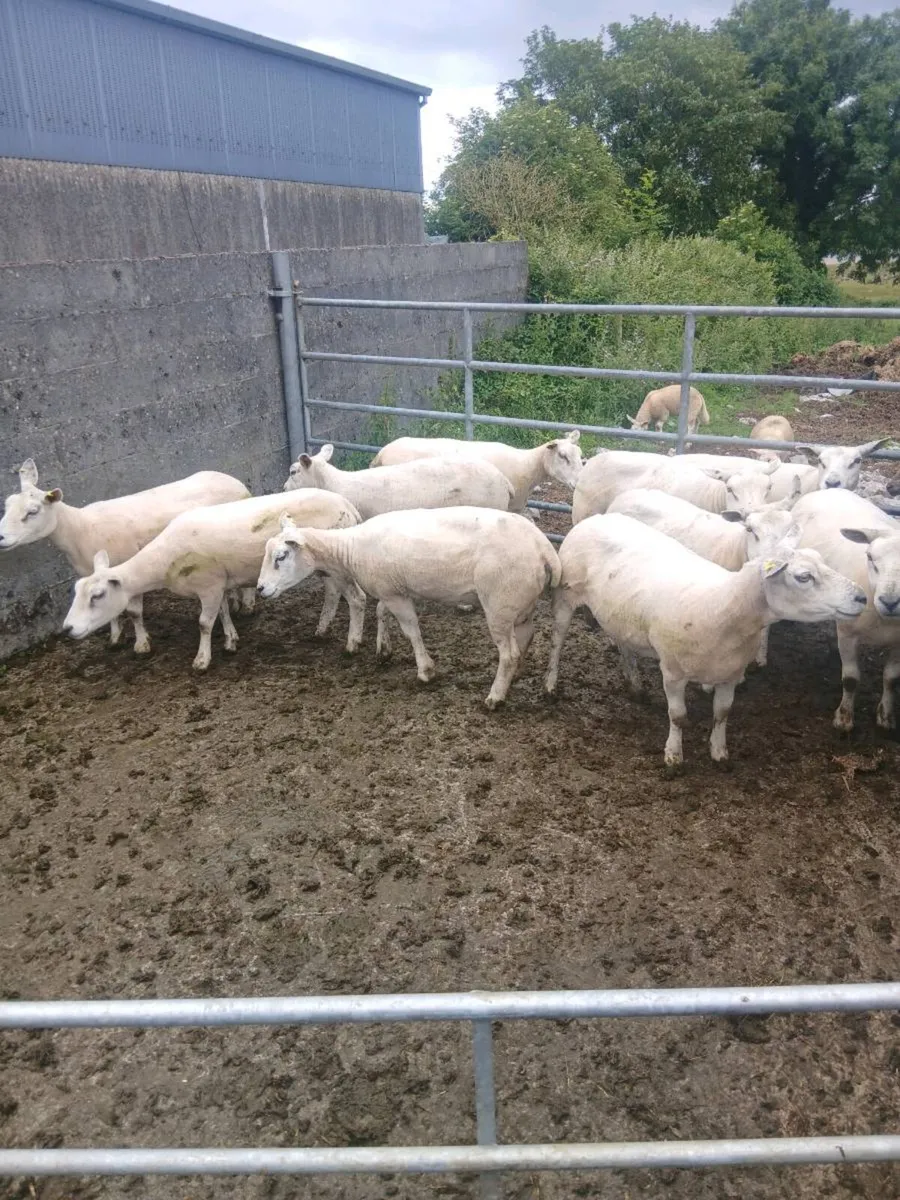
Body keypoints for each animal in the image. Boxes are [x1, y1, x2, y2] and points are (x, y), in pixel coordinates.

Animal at [0, 461, 250, 653]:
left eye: (32, 511)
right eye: (7, 505)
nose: (1, 537)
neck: (80, 529)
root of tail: (234, 480)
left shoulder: (126, 570)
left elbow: (133, 612)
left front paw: (142, 643)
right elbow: (111, 612)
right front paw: (115, 636)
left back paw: (247, 604)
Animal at [62, 490, 365, 671]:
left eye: (97, 595)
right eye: (77, 591)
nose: (67, 629)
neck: (164, 560)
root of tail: (347, 505)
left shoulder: (208, 585)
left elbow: (204, 623)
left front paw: (202, 659)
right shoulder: (217, 584)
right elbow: (222, 613)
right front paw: (231, 640)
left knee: (351, 597)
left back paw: (346, 640)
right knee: (333, 593)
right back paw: (323, 628)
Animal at [256, 507, 561, 709]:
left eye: (281, 556)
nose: (260, 589)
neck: (349, 547)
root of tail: (544, 549)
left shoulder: (395, 594)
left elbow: (411, 630)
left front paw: (425, 671)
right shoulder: (390, 589)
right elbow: (381, 612)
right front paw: (383, 650)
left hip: (499, 602)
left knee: (508, 653)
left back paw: (495, 697)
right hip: (520, 602)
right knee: (525, 637)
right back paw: (514, 677)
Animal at [544, 513, 866, 768]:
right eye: (803, 577)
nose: (861, 596)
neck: (725, 606)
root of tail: (597, 517)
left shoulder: (731, 673)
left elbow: (722, 713)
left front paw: (719, 753)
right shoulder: (673, 671)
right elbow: (678, 716)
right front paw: (674, 756)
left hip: (622, 612)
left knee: (625, 645)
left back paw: (635, 686)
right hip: (566, 593)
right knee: (557, 640)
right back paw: (550, 685)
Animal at [791, 488, 900, 730]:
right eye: (870, 557)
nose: (889, 601)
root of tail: (827, 489)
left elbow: (891, 679)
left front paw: (886, 717)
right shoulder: (849, 633)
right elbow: (850, 679)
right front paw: (843, 718)